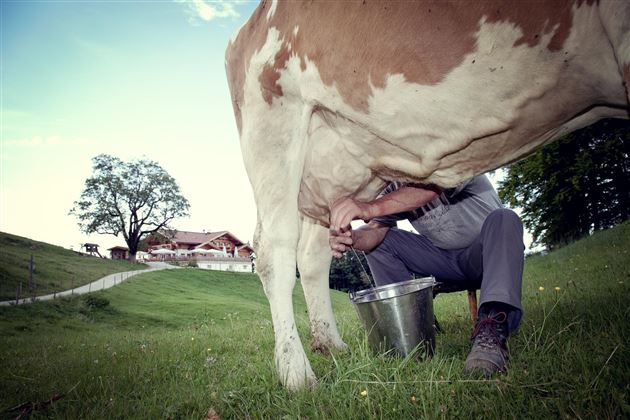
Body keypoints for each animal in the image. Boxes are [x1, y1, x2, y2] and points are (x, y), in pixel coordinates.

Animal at [227, 0, 630, 390]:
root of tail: (246, 27)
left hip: (327, 165)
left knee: (312, 256)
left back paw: (331, 344)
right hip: (273, 125)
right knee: (273, 250)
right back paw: (297, 375)